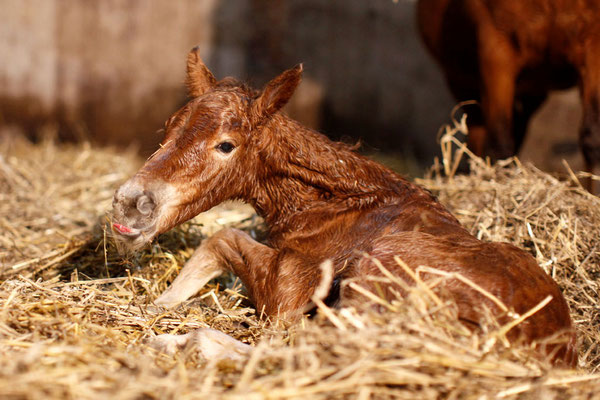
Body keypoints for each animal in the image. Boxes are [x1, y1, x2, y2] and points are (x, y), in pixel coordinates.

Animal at [111, 47, 576, 366]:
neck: (340, 204)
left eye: (226, 145)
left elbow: (222, 239)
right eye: (169, 127)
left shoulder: (286, 292)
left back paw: (178, 341)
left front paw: (159, 306)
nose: (130, 204)